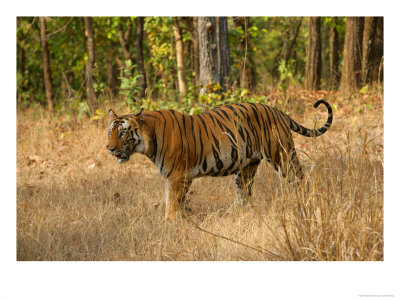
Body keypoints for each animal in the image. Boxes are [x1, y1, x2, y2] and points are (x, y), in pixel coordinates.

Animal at [105, 101, 332, 220]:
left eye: (123, 133)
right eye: (110, 132)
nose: (110, 148)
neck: (149, 139)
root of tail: (278, 111)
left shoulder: (178, 176)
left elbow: (173, 204)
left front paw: (170, 223)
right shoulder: (171, 178)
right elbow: (171, 200)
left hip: (282, 156)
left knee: (300, 180)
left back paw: (305, 203)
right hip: (246, 170)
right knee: (244, 195)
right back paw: (233, 215)